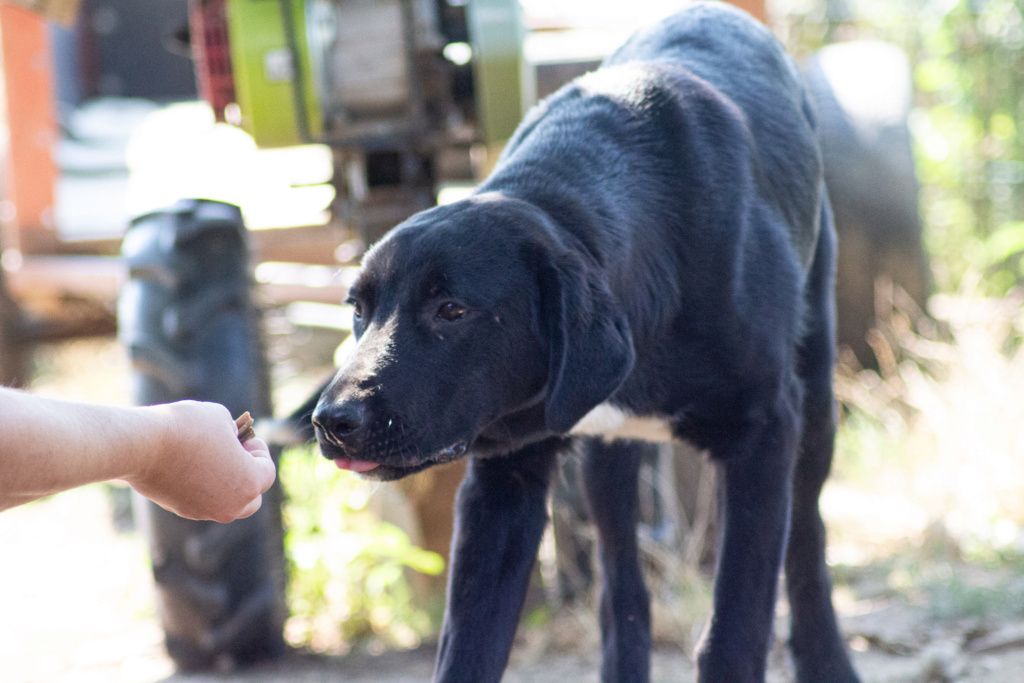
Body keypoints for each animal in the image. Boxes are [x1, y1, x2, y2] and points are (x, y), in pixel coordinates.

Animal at [311, 3, 856, 679]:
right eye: (358, 310)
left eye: (451, 310)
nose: (331, 422)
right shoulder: (504, 479)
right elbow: (468, 647)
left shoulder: (764, 433)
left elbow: (736, 630)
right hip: (606, 460)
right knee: (622, 592)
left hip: (815, 407)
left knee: (806, 541)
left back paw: (827, 657)